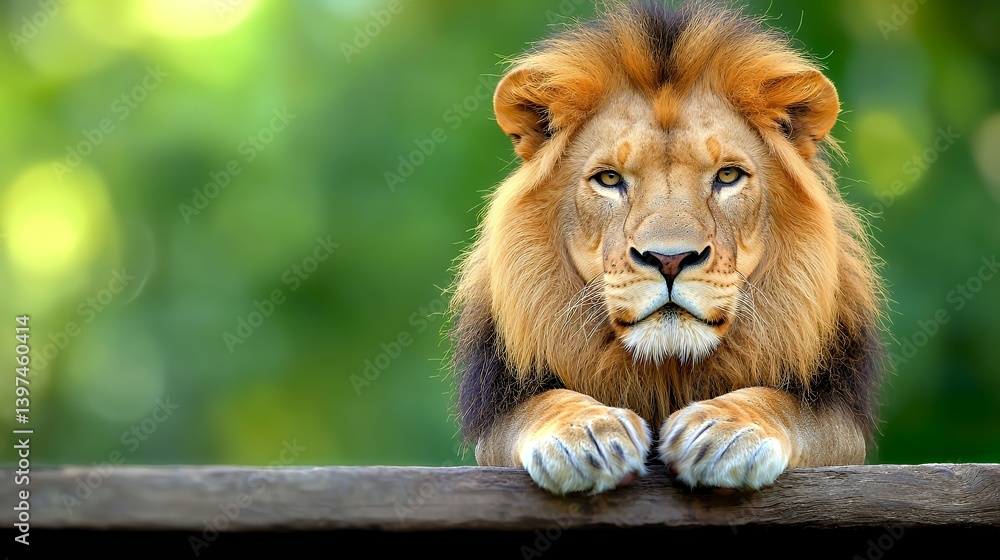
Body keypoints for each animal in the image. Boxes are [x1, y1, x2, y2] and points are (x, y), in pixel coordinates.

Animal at [449, 1, 884, 495]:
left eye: (728, 176)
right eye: (609, 179)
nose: (670, 259)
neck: (667, 367)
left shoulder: (839, 417)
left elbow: (783, 405)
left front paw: (725, 432)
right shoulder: (497, 414)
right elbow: (545, 403)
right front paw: (586, 435)